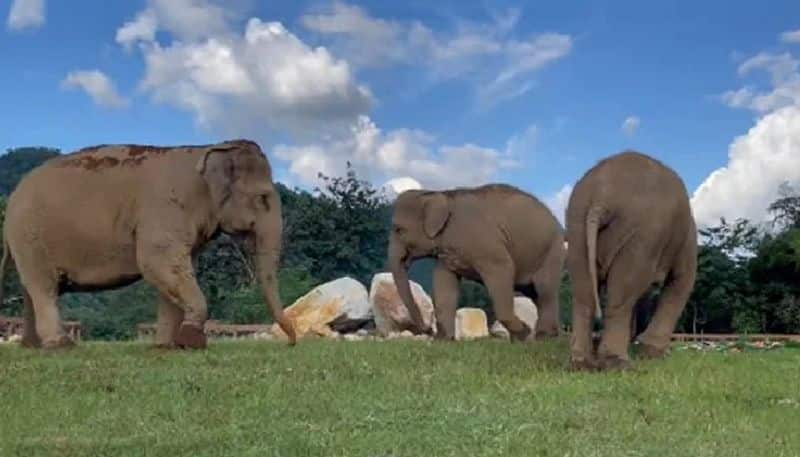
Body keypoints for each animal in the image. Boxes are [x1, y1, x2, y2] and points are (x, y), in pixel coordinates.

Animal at [0, 137, 296, 348]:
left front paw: (166, 347)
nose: (292, 342)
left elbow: (174, 273)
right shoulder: (166, 210)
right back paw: (61, 345)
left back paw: (32, 346)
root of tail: (12, 197)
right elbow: (158, 264)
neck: (207, 149)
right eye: (263, 198)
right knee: (44, 288)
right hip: (29, 236)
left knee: (31, 290)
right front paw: (192, 341)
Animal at [386, 183, 564, 340]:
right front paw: (443, 341)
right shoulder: (446, 254)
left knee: (544, 290)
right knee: (535, 294)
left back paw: (542, 337)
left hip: (552, 250)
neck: (440, 194)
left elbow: (503, 269)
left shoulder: (486, 244)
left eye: (399, 230)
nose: (428, 330)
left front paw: (524, 333)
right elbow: (444, 283)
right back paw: (547, 336)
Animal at [564, 151, 696, 370]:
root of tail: (601, 198)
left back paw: (581, 363)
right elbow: (681, 282)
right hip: (641, 235)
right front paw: (654, 353)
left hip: (576, 226)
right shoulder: (684, 242)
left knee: (583, 292)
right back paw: (619, 364)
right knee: (622, 293)